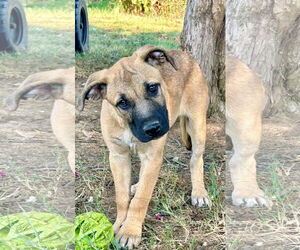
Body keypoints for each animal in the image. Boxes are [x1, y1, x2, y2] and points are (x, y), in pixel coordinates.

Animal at [77, 45, 209, 248]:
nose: (153, 128)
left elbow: (140, 199)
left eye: (153, 88)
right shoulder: (118, 156)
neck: (127, 126)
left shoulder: (151, 155)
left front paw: (130, 231)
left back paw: (199, 192)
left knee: (196, 159)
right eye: (122, 103)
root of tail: (185, 55)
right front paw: (118, 224)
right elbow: (122, 197)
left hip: (197, 124)